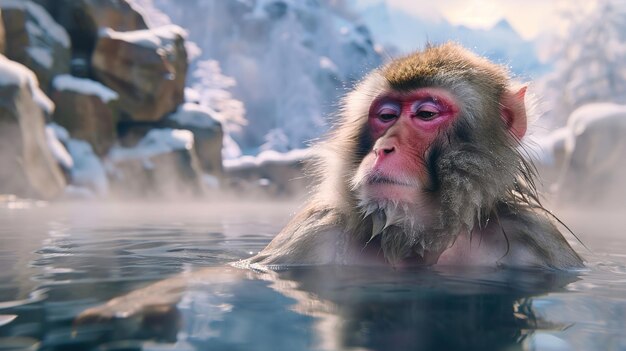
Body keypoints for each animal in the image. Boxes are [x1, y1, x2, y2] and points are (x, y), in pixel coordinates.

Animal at [241, 43, 584, 270]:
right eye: (387, 115)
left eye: (426, 113)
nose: (383, 148)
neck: (417, 241)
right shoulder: (311, 234)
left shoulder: (536, 238)